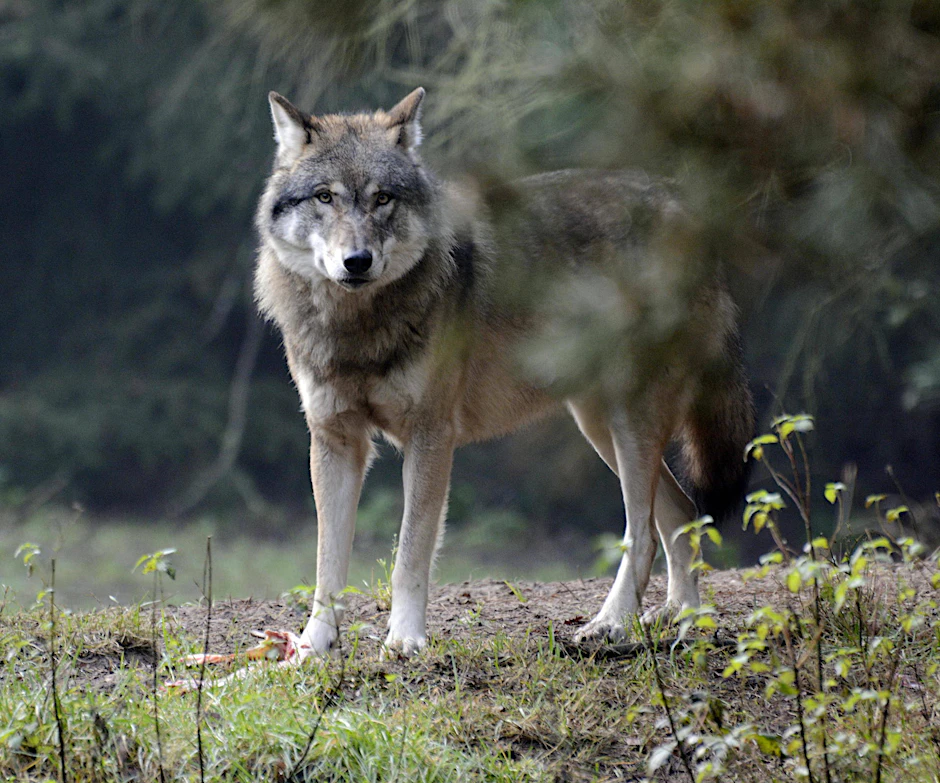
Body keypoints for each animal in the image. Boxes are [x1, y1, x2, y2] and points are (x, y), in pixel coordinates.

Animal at [254, 87, 754, 659]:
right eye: (324, 197)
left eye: (383, 199)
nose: (357, 261)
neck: (358, 328)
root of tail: (688, 213)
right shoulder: (335, 440)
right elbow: (327, 565)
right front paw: (312, 647)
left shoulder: (430, 436)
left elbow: (410, 554)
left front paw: (404, 639)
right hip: (599, 427)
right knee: (681, 515)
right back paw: (686, 623)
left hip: (629, 423)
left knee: (645, 532)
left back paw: (612, 625)